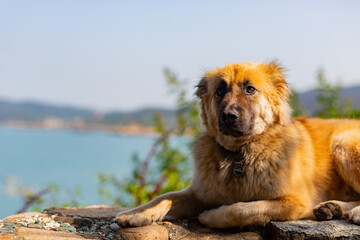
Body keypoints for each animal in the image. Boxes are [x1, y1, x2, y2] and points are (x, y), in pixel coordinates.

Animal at [115, 61, 360, 228]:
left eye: (250, 89)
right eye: (220, 91)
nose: (228, 116)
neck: (239, 153)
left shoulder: (295, 201)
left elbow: (243, 210)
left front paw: (211, 216)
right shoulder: (199, 191)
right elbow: (165, 197)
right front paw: (136, 213)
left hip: (343, 143)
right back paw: (332, 208)